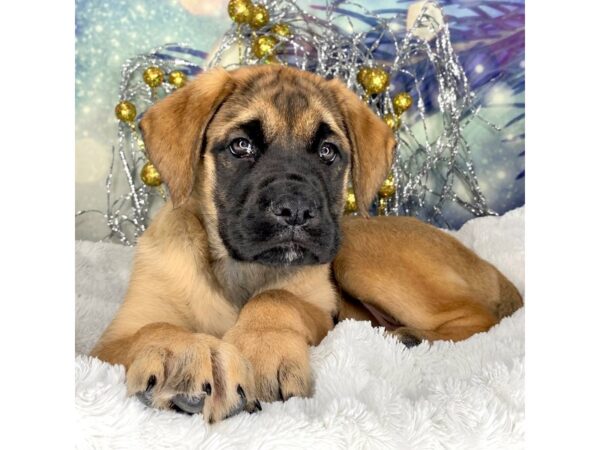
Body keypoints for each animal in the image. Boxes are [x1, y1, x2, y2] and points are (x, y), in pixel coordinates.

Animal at [91, 63, 524, 422]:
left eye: (328, 152)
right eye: (241, 146)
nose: (296, 210)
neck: (236, 270)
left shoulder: (321, 310)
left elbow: (276, 297)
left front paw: (259, 351)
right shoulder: (110, 342)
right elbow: (154, 329)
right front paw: (180, 356)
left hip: (355, 250)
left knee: (476, 318)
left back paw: (411, 337)